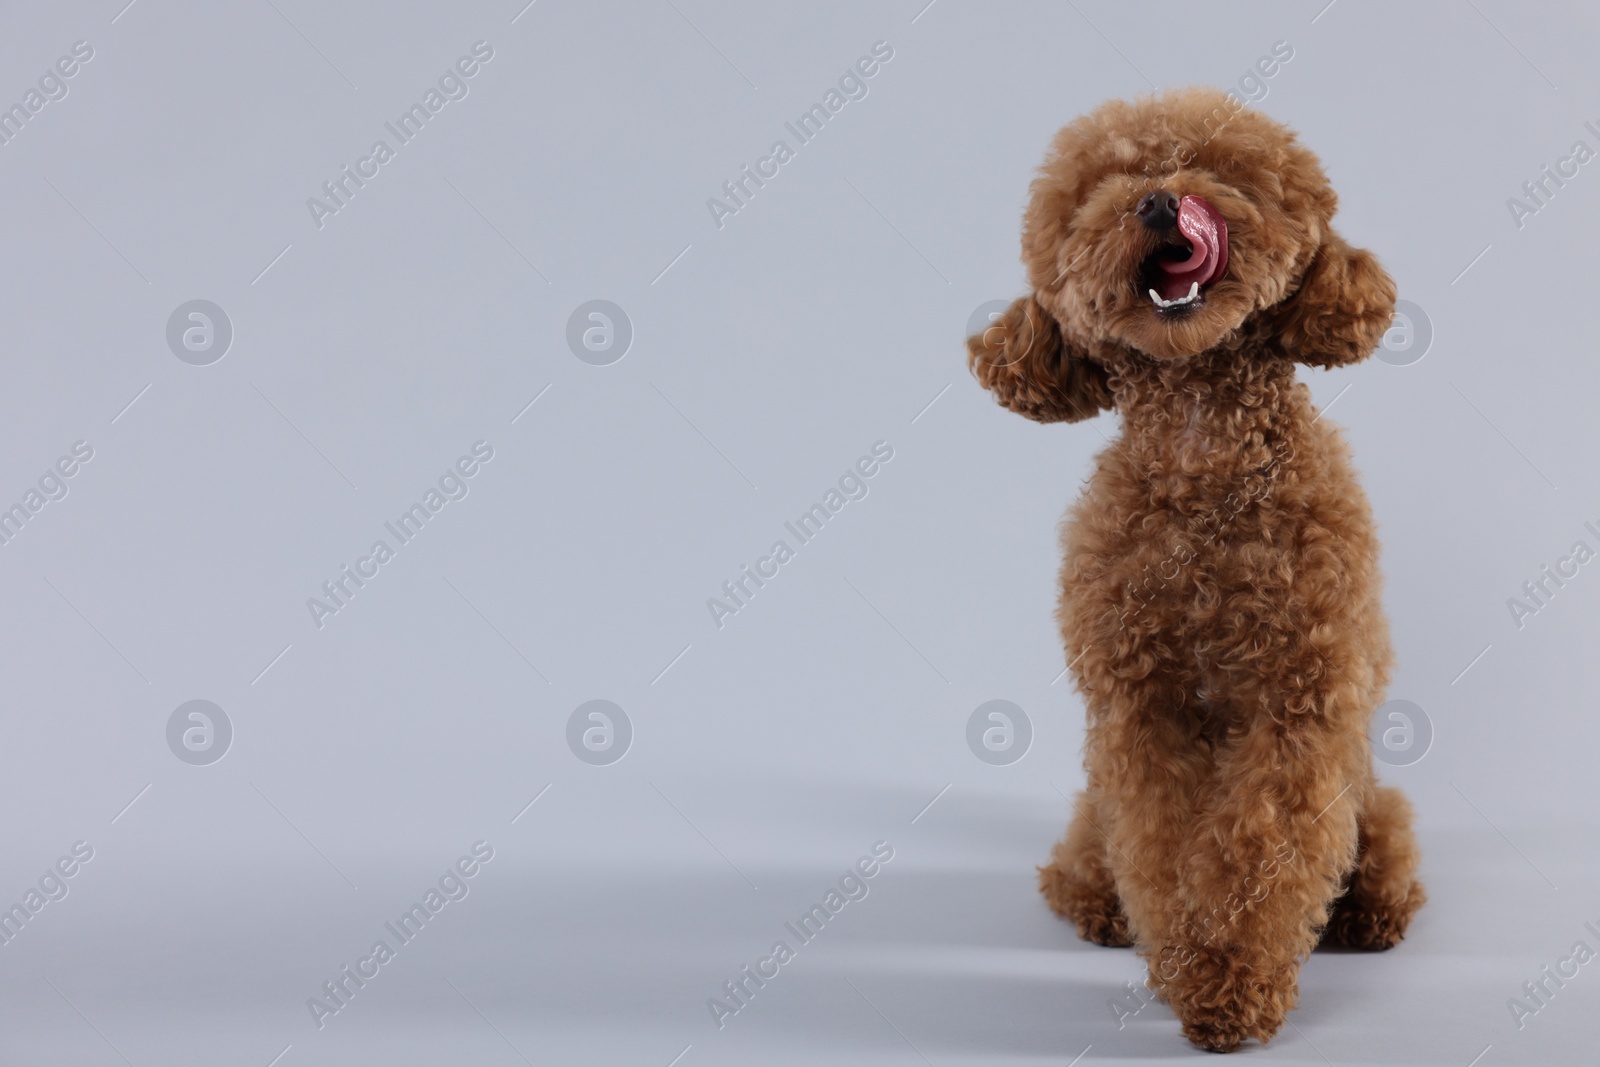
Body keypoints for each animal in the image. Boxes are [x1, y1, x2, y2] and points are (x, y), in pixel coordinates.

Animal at [966, 89, 1433, 1049]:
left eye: (1226, 171)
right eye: (1096, 192)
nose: (1157, 201)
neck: (1203, 453)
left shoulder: (1299, 705)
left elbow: (1257, 850)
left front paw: (1228, 982)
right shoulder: (1141, 709)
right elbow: (1162, 842)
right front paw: (1188, 961)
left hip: (1375, 801)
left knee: (1379, 852)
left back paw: (1371, 912)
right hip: (1090, 804)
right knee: (1087, 852)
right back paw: (1094, 901)